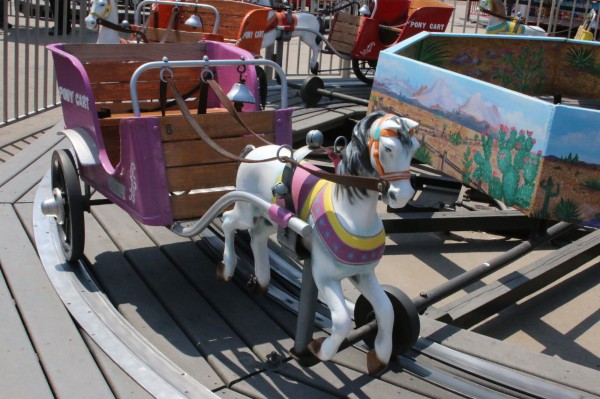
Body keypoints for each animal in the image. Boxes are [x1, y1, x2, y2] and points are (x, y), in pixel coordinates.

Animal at [218, 111, 420, 376]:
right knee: (227, 220)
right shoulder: (324, 276)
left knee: (257, 236)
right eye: (388, 148)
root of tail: (252, 151)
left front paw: (379, 357)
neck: (349, 214)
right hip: (247, 209)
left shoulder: (363, 273)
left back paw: (261, 280)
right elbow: (342, 320)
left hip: (271, 217)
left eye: (415, 147)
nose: (402, 196)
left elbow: (387, 310)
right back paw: (227, 268)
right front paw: (317, 349)